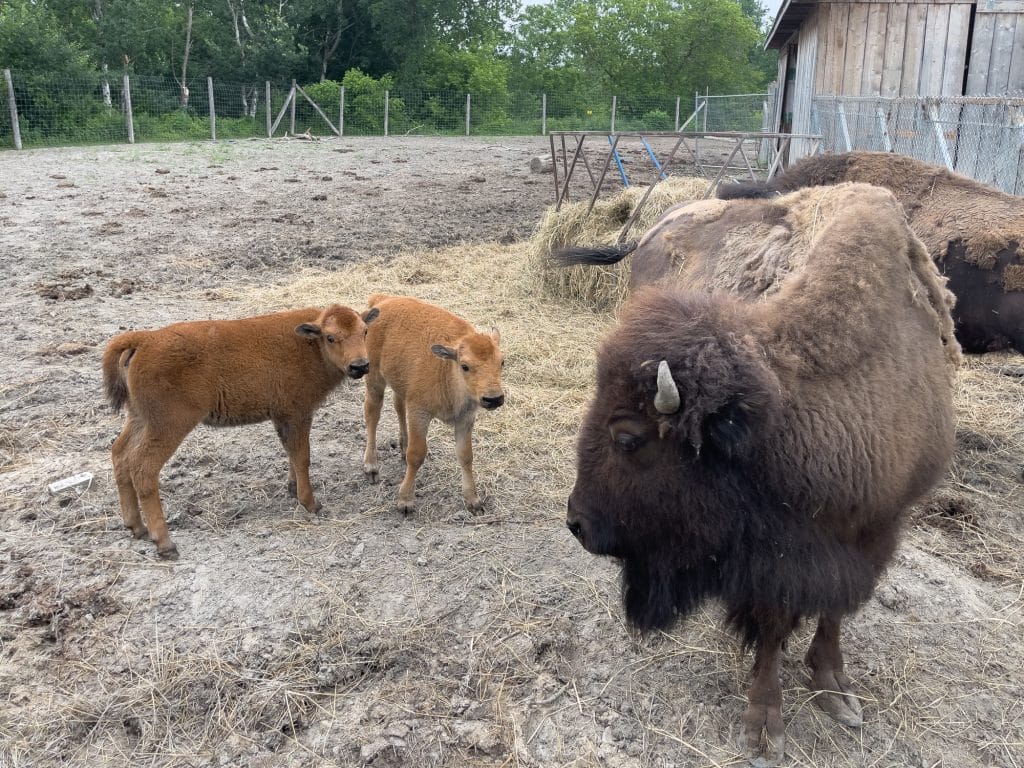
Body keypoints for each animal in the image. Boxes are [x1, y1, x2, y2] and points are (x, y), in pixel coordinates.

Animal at [102, 303, 380, 561]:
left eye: (365, 331)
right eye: (331, 337)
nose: (360, 366)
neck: (310, 345)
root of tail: (145, 340)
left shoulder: (285, 417)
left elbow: (292, 454)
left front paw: (292, 488)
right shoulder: (297, 413)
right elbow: (302, 457)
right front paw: (311, 503)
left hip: (140, 419)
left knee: (120, 455)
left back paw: (136, 527)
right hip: (168, 425)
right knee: (143, 468)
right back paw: (165, 544)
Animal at [362, 294, 505, 518]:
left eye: (502, 362)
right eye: (465, 366)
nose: (494, 398)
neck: (446, 369)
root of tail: (382, 300)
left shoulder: (465, 419)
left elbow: (466, 456)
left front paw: (473, 501)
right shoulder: (420, 413)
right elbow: (417, 454)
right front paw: (405, 501)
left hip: (399, 383)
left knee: (398, 406)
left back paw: (402, 446)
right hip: (374, 379)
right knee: (372, 416)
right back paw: (371, 467)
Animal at [561, 183, 958, 765]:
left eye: (627, 438)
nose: (577, 524)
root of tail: (661, 222)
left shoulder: (875, 531)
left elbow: (836, 609)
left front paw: (834, 688)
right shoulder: (773, 563)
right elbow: (772, 627)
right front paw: (764, 724)